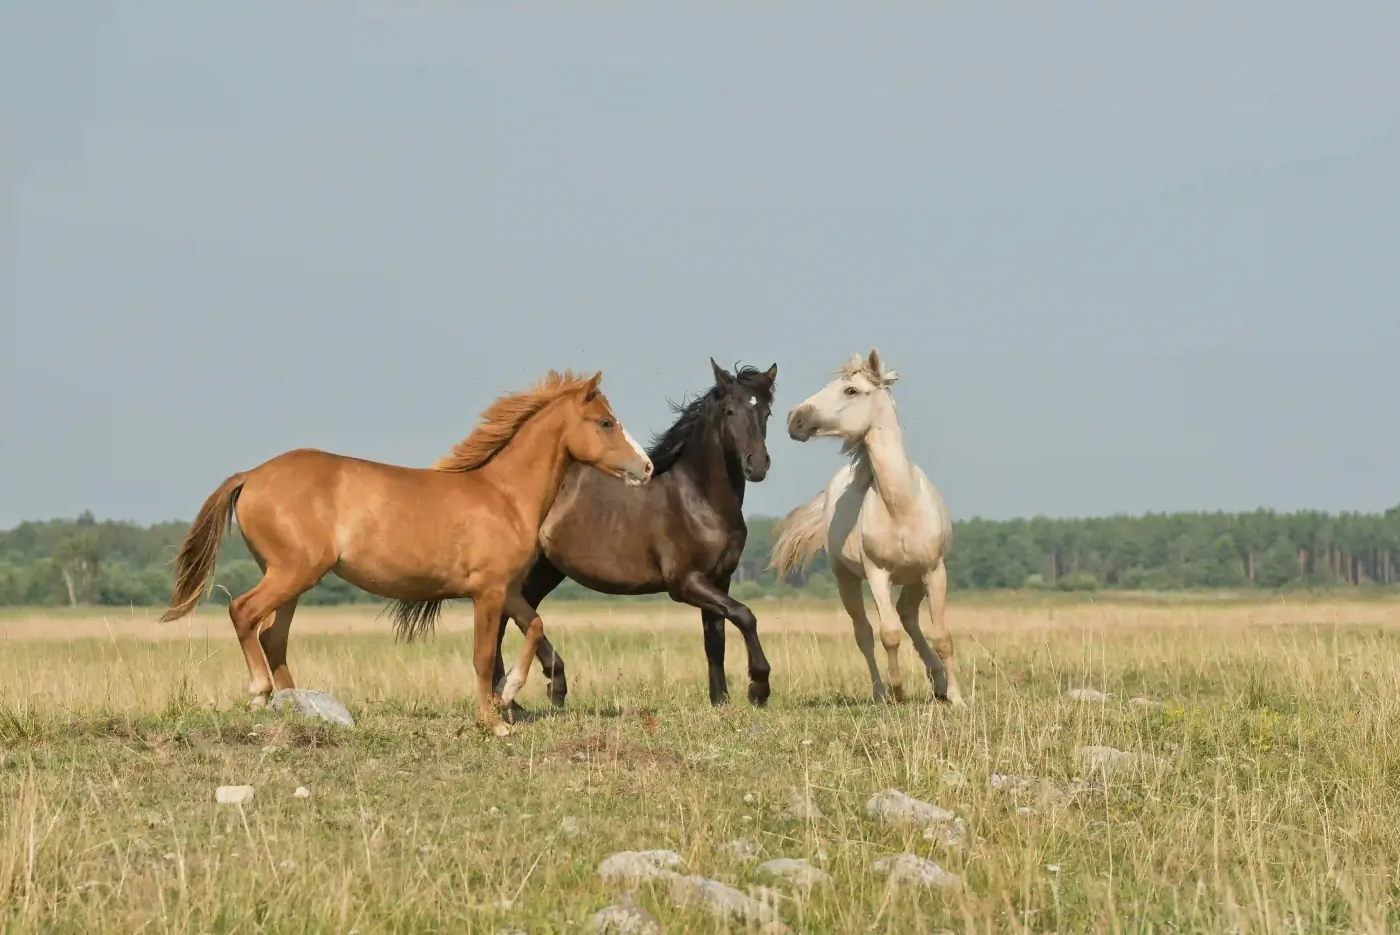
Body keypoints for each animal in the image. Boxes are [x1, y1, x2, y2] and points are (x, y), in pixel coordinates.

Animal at [159, 370, 653, 736]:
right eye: (605, 422)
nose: (646, 467)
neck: (504, 496)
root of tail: (253, 475)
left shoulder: (508, 589)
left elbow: (534, 627)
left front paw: (509, 694)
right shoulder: (487, 593)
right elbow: (482, 655)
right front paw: (492, 721)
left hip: (292, 580)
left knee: (272, 636)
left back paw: (299, 706)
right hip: (291, 573)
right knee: (243, 613)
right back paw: (261, 694)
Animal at [490, 359, 778, 709]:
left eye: (766, 412)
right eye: (729, 411)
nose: (757, 465)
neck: (699, 500)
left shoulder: (719, 579)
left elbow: (715, 639)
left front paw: (720, 700)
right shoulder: (685, 582)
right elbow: (744, 615)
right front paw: (758, 688)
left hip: (547, 569)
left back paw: (512, 696)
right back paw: (541, 688)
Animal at [770, 349, 964, 706]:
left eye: (851, 390)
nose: (795, 419)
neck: (902, 507)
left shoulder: (934, 571)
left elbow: (942, 635)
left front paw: (957, 698)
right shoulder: (877, 574)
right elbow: (888, 634)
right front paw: (897, 691)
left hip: (914, 579)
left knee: (908, 616)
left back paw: (939, 683)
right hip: (846, 579)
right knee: (865, 634)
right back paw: (880, 692)